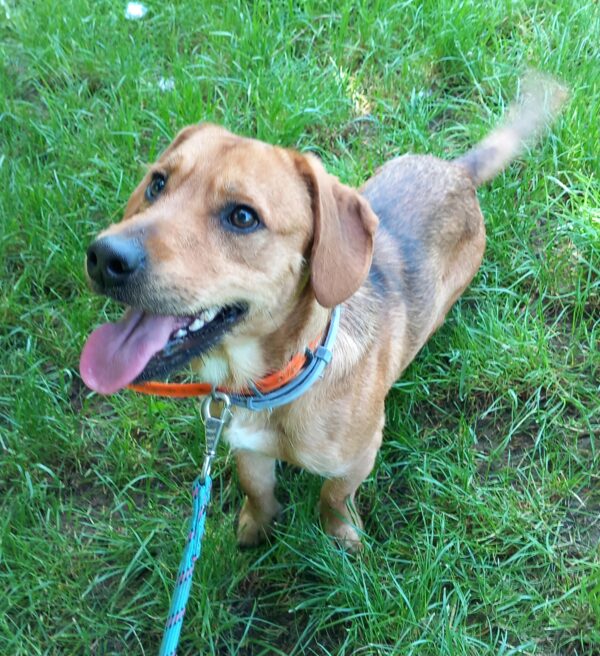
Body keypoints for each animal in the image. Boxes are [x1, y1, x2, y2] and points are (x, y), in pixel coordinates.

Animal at [80, 76, 565, 549]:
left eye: (243, 216)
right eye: (157, 183)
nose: (105, 256)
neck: (272, 381)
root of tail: (457, 171)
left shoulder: (359, 455)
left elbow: (334, 496)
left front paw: (342, 536)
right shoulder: (246, 447)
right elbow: (256, 489)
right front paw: (256, 527)